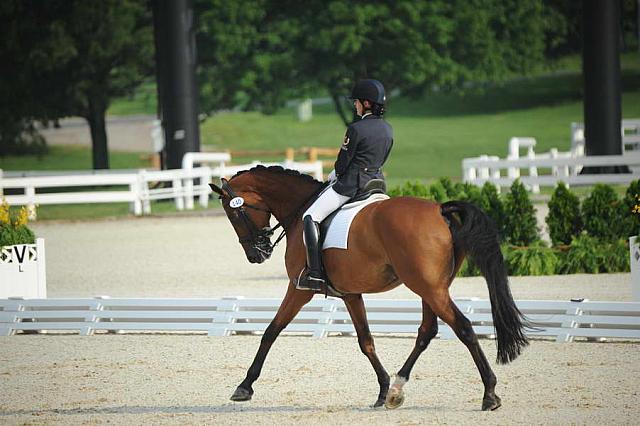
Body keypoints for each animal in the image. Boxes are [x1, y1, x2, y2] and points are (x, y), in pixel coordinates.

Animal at [210, 165, 528, 412]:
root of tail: (440, 209)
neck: (299, 211)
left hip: (429, 288)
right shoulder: (350, 293)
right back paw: (396, 390)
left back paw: (489, 394)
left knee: (463, 327)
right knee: (427, 331)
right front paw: (382, 389)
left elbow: (271, 331)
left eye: (233, 214)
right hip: (432, 288)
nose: (257, 255)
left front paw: (244, 386)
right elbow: (366, 341)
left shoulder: (299, 289)